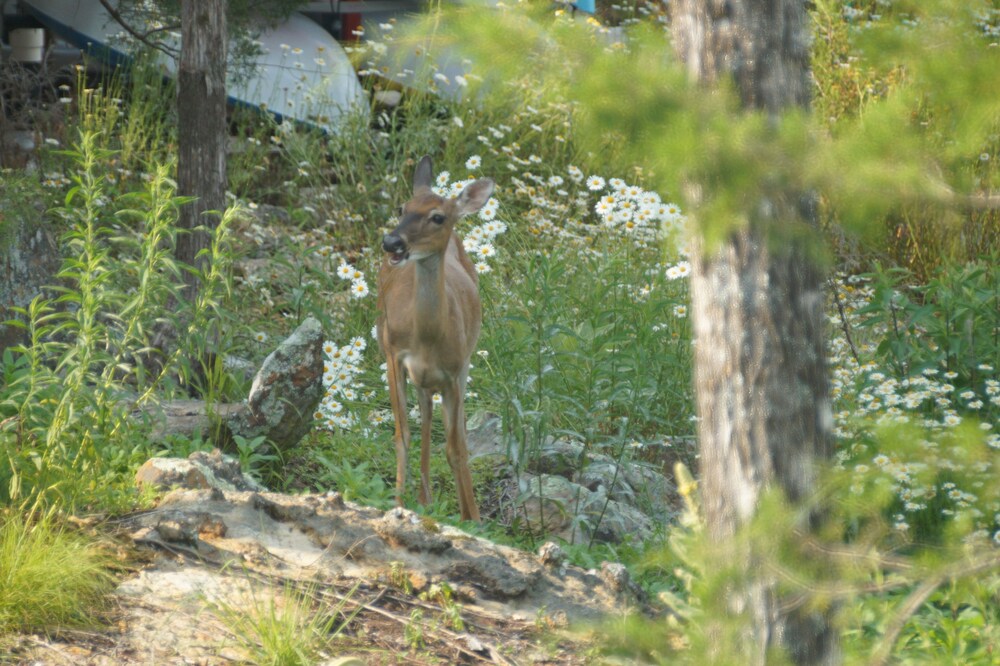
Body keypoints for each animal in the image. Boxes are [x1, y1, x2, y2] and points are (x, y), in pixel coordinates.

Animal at [376, 156, 492, 520]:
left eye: (438, 217)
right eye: (402, 207)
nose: (392, 242)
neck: (427, 338)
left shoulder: (455, 372)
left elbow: (456, 448)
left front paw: (472, 519)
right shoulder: (393, 355)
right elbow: (402, 436)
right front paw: (398, 505)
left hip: (459, 368)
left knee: (446, 427)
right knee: (425, 414)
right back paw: (423, 499)